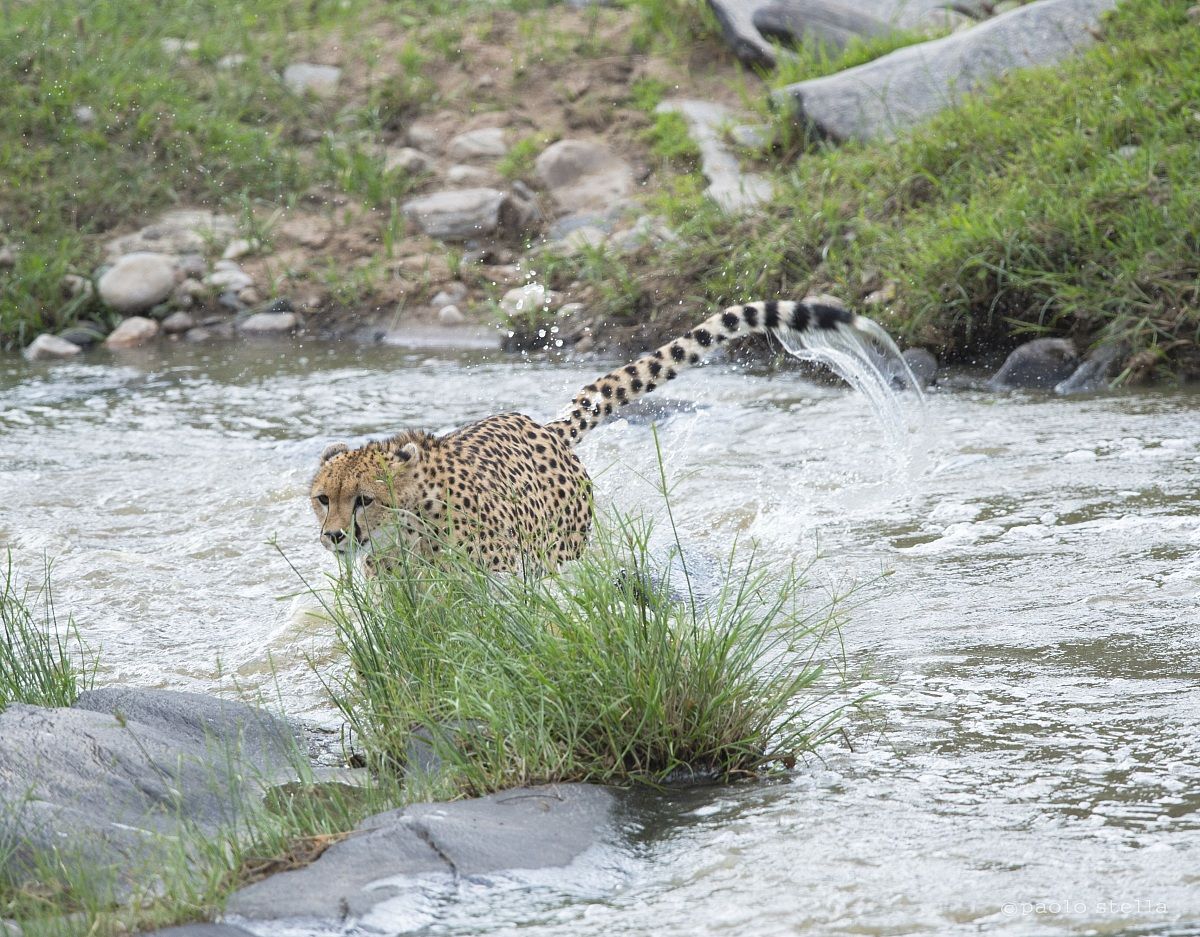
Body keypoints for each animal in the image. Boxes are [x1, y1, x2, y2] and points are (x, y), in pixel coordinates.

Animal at [310, 294, 907, 574]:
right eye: (322, 499)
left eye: (364, 500)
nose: (335, 536)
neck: (410, 529)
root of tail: (541, 426)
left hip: (563, 550)